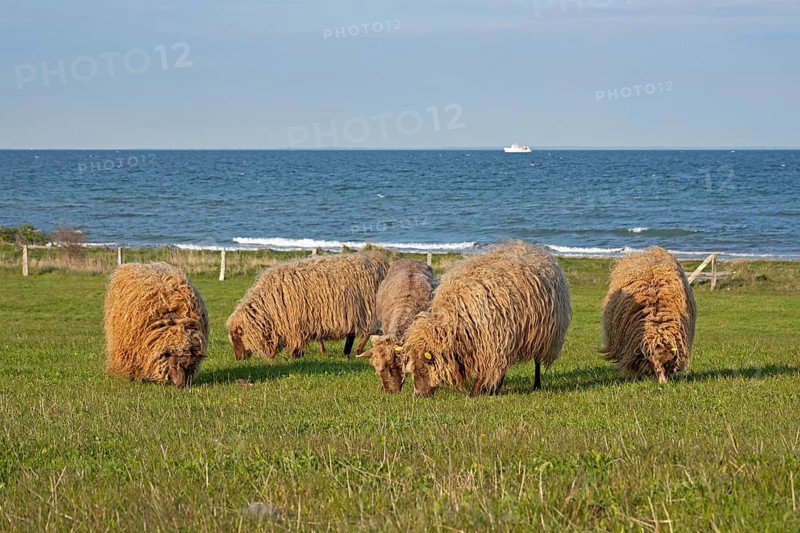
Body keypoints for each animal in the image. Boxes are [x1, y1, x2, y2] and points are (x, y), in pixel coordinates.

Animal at [226, 253, 388, 360]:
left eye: (237, 337)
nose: (238, 359)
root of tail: (377, 261)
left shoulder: (295, 323)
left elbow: (298, 340)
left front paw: (294, 355)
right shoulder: (311, 318)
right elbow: (317, 337)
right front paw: (317, 351)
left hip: (367, 309)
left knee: (368, 332)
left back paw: (357, 351)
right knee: (353, 334)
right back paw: (346, 352)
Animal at [403, 241, 572, 397]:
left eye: (423, 369)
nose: (418, 395)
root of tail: (536, 249)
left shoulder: (492, 342)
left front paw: (475, 392)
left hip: (545, 334)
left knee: (536, 361)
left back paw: (536, 386)